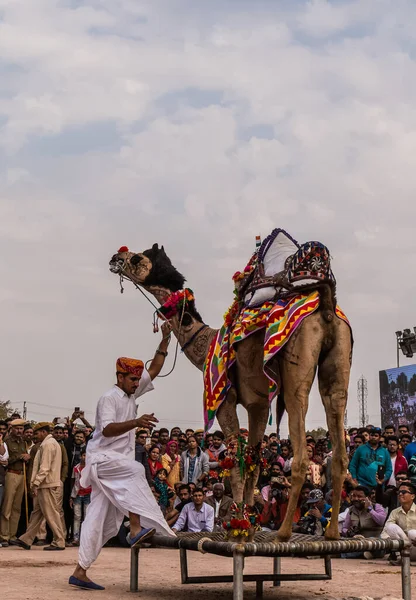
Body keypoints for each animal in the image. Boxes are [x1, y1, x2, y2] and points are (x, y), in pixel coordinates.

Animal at [109, 231, 352, 544]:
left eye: (138, 258)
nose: (116, 256)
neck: (205, 343)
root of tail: (325, 302)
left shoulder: (223, 397)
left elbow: (236, 456)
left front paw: (237, 526)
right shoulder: (258, 404)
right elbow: (254, 457)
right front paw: (250, 522)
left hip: (297, 369)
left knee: (300, 450)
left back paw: (284, 532)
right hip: (340, 360)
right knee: (339, 436)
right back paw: (332, 533)